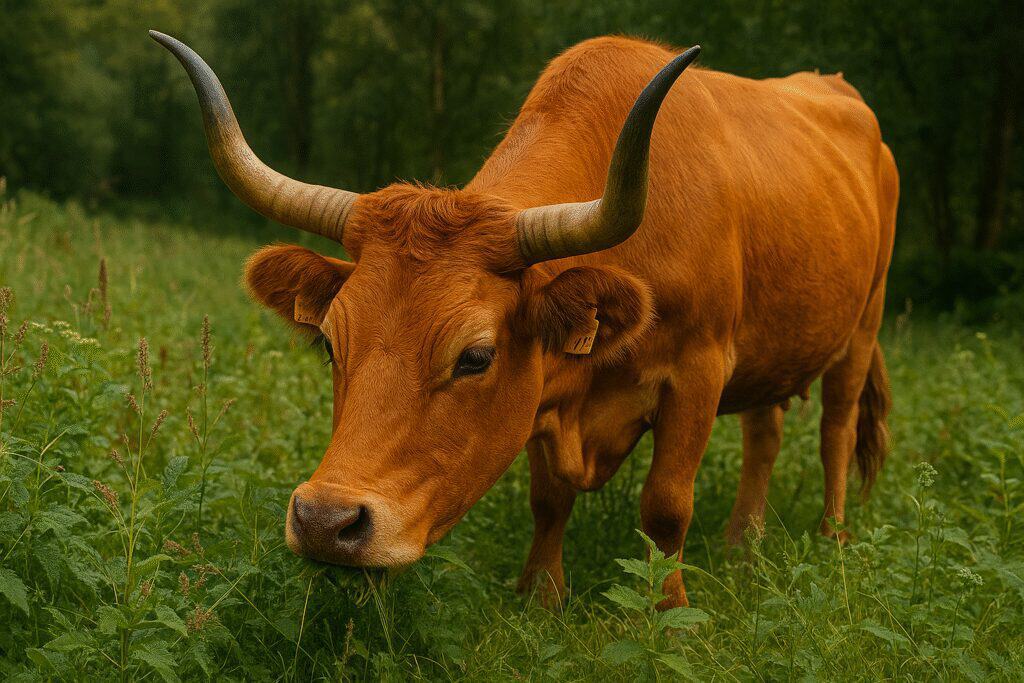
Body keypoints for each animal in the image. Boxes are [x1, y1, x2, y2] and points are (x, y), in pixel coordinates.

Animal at [152, 29, 895, 609]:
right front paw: (540, 594)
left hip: (864, 323)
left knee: (835, 427)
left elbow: (665, 506)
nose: (325, 521)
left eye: (475, 356)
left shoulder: (699, 371)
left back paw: (831, 536)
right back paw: (744, 541)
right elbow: (550, 499)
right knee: (765, 431)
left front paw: (665, 609)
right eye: (331, 345)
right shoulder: (547, 386)